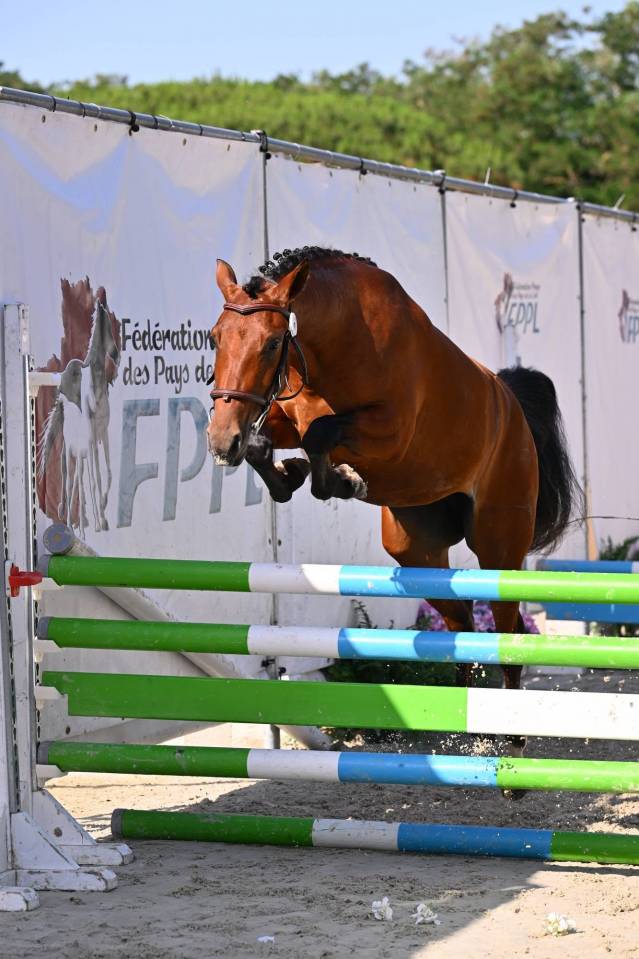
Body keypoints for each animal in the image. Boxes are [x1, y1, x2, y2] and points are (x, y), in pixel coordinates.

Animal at [206, 247, 581, 778]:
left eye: (274, 341)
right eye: (215, 337)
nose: (221, 442)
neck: (334, 347)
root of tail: (512, 406)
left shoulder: (389, 432)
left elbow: (321, 433)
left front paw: (342, 479)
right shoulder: (280, 414)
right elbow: (269, 443)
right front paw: (298, 473)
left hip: (500, 544)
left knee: (506, 631)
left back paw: (512, 747)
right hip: (415, 550)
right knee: (462, 623)